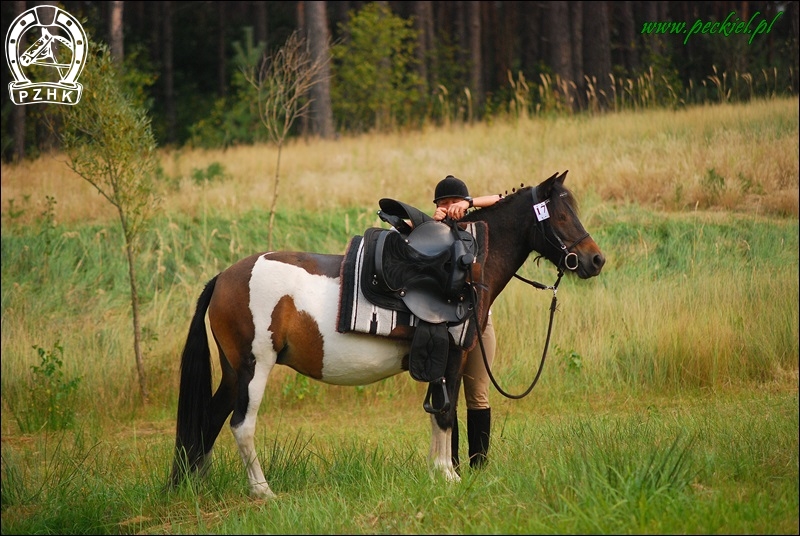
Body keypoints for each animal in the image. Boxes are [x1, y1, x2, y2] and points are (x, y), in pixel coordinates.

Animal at [170, 171, 608, 498]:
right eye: (560, 215)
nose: (595, 259)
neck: (469, 267)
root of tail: (224, 278)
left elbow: (442, 413)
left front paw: (441, 472)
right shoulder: (451, 357)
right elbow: (445, 414)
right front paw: (447, 475)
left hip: (233, 373)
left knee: (209, 421)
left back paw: (196, 484)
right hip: (254, 367)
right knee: (241, 425)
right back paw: (262, 491)